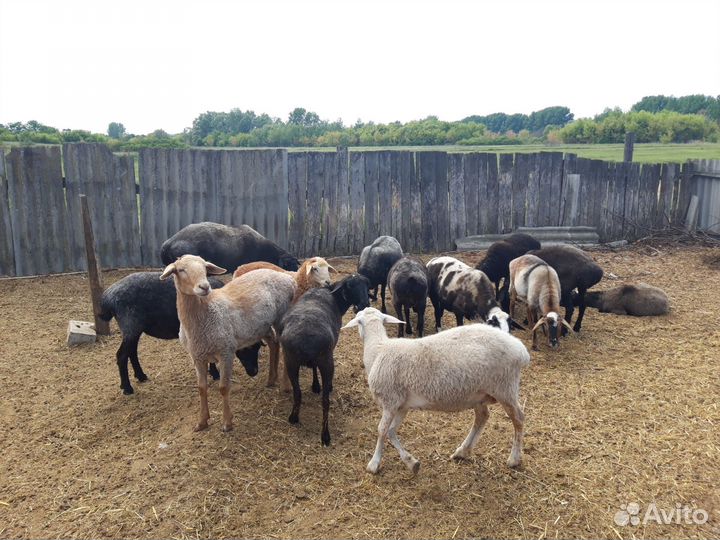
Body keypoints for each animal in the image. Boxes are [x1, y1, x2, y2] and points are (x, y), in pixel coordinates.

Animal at [99, 272, 261, 395]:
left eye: (258, 346)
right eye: (246, 347)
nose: (254, 372)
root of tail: (107, 298)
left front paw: (213, 373)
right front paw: (215, 374)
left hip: (133, 329)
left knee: (131, 352)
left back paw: (141, 376)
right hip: (130, 325)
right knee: (121, 355)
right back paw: (127, 388)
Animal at [160, 255, 296, 432]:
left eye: (205, 268)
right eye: (181, 270)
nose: (204, 287)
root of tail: (287, 277)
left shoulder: (226, 351)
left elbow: (224, 388)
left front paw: (227, 422)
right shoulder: (197, 356)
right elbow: (201, 388)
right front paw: (202, 422)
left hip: (281, 317)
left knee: (284, 347)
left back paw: (285, 385)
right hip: (262, 325)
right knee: (274, 343)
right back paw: (271, 379)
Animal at [279, 274, 371, 446]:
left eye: (367, 286)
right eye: (350, 286)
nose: (365, 304)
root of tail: (305, 340)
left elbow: (313, 369)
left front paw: (315, 385)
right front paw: (320, 386)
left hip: (290, 361)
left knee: (297, 392)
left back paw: (294, 417)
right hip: (327, 362)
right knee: (325, 401)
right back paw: (325, 435)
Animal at [342, 307, 530, 474]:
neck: (378, 349)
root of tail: (522, 351)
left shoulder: (390, 401)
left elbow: (381, 430)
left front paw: (374, 463)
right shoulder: (401, 405)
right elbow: (391, 431)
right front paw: (411, 462)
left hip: (505, 388)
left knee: (519, 419)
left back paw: (514, 459)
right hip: (479, 393)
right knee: (482, 417)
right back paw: (462, 452)